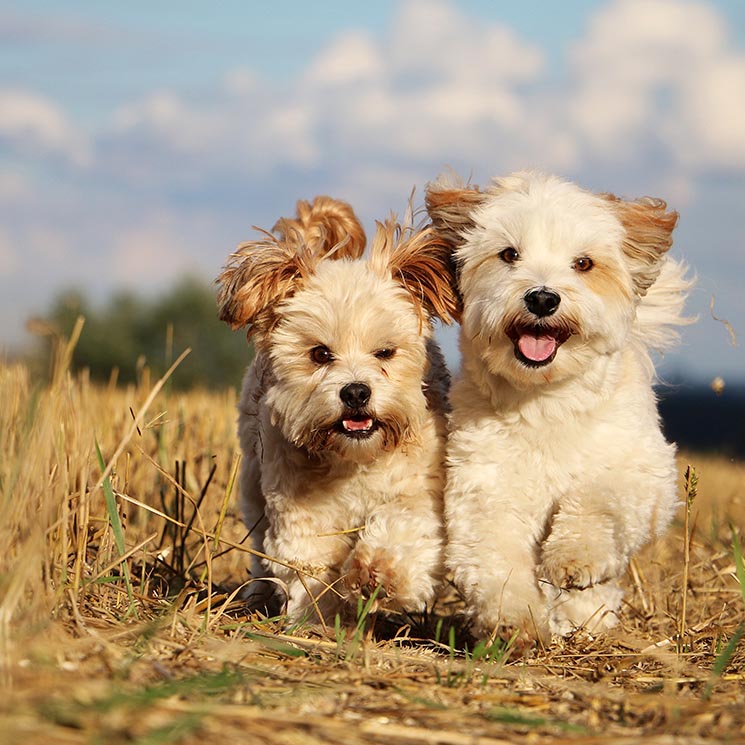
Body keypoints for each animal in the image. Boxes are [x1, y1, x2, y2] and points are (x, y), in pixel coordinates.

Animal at [217, 196, 460, 620]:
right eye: (319, 354)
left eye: (385, 352)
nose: (356, 392)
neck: (355, 461)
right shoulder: (300, 511)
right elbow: (309, 563)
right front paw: (319, 617)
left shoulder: (420, 490)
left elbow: (404, 531)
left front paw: (376, 575)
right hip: (251, 482)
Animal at [424, 171, 692, 644]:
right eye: (509, 254)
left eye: (583, 263)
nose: (543, 298)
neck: (547, 399)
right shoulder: (483, 491)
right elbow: (495, 559)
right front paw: (514, 619)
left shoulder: (641, 474)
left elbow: (598, 499)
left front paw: (575, 555)